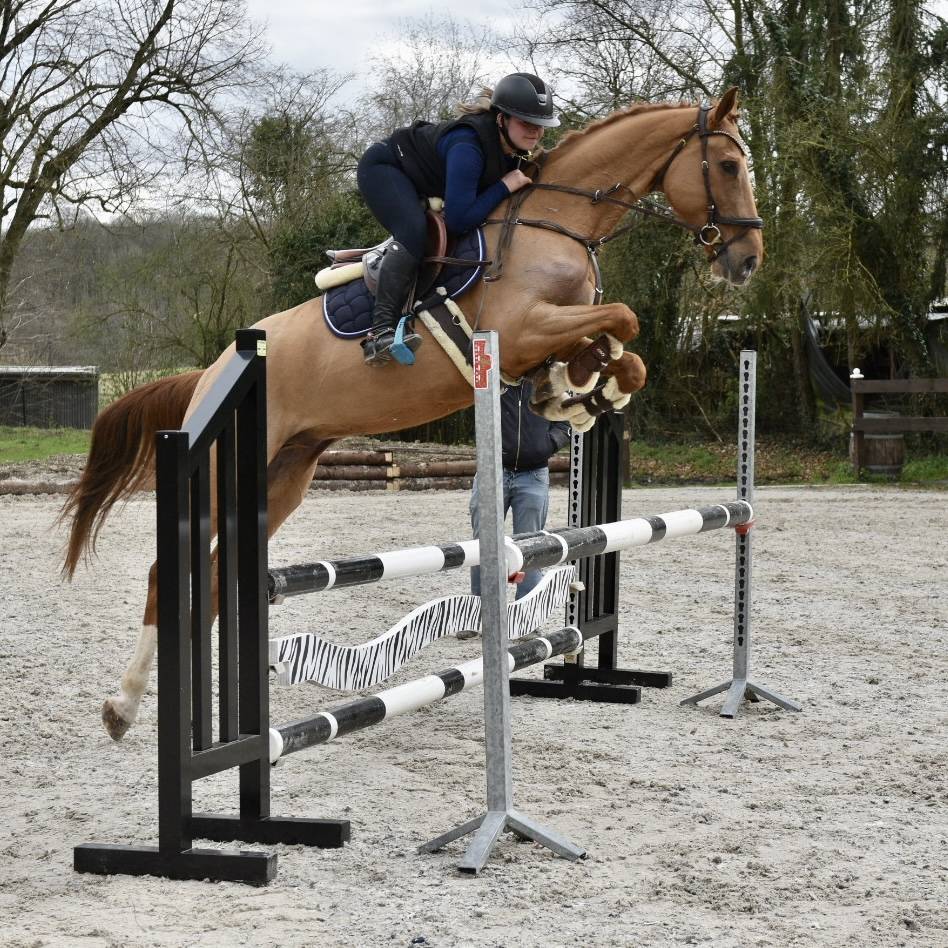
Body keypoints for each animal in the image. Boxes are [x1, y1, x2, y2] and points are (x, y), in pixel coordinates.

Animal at [61, 88, 763, 741]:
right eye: (730, 164)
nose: (747, 260)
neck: (556, 221)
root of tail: (215, 368)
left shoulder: (551, 332)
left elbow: (625, 349)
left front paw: (578, 393)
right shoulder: (520, 330)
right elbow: (624, 317)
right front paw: (577, 387)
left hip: (283, 476)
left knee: (208, 580)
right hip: (216, 464)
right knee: (164, 574)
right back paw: (124, 706)